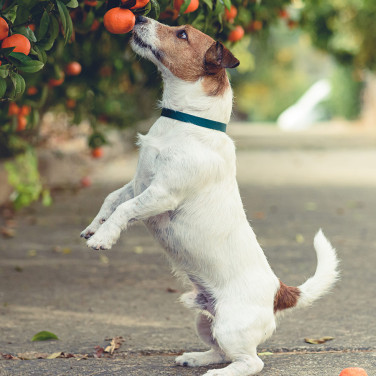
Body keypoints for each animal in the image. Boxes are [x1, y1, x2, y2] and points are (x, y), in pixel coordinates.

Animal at [81, 16, 340, 376]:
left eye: (182, 34)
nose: (141, 16)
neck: (185, 122)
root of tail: (278, 292)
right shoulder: (138, 183)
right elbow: (111, 200)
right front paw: (94, 227)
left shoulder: (161, 193)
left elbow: (126, 210)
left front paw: (103, 238)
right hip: (205, 321)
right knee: (220, 350)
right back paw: (196, 358)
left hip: (230, 326)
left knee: (251, 362)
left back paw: (218, 373)